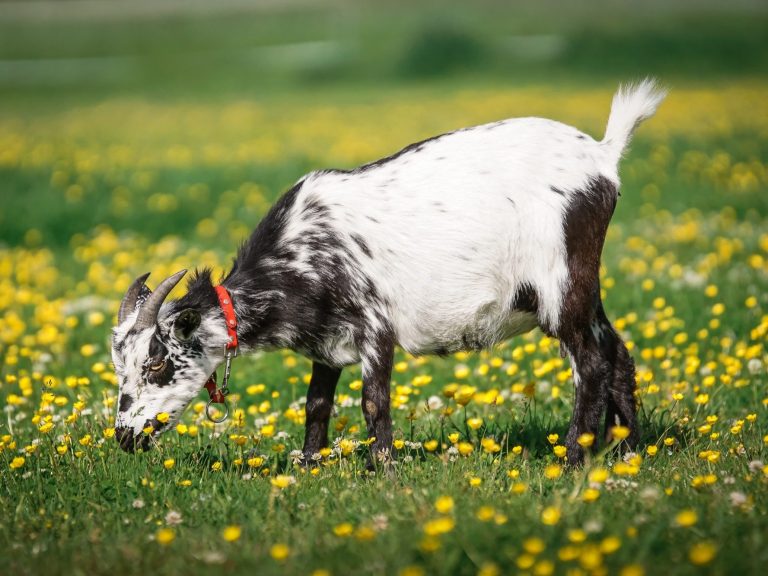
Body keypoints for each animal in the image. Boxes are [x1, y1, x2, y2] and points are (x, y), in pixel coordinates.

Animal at [111, 80, 666, 465]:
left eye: (155, 363)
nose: (124, 437)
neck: (300, 255)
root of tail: (602, 155)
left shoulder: (375, 328)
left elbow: (373, 402)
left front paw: (385, 470)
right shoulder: (325, 343)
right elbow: (316, 404)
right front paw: (309, 466)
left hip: (560, 284)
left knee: (590, 364)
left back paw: (573, 459)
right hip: (584, 287)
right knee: (617, 352)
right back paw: (629, 451)